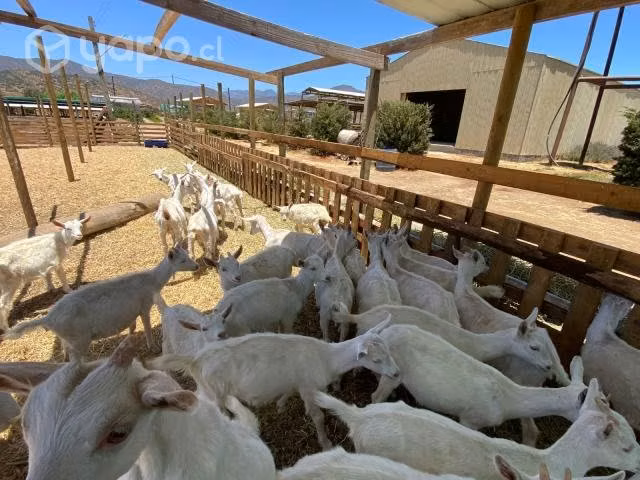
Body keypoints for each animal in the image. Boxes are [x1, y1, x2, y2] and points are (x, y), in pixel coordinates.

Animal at [1, 247, 198, 360]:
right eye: (182, 260)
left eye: (187, 255)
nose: (196, 266)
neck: (152, 281)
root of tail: (48, 319)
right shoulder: (144, 306)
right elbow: (147, 328)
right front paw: (153, 347)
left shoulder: (131, 311)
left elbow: (132, 327)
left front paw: (128, 341)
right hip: (79, 339)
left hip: (67, 339)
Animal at [148, 319, 398, 451]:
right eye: (376, 360)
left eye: (388, 349)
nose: (396, 373)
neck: (326, 357)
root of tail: (195, 360)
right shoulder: (308, 387)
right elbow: (317, 417)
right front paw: (326, 442)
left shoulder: (296, 381)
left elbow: (287, 391)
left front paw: (280, 404)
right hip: (214, 391)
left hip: (206, 388)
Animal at [371, 324, 587, 430]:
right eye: (534, 347)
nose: (549, 366)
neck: (507, 401)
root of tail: (384, 332)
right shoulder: (471, 419)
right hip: (392, 374)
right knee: (376, 396)